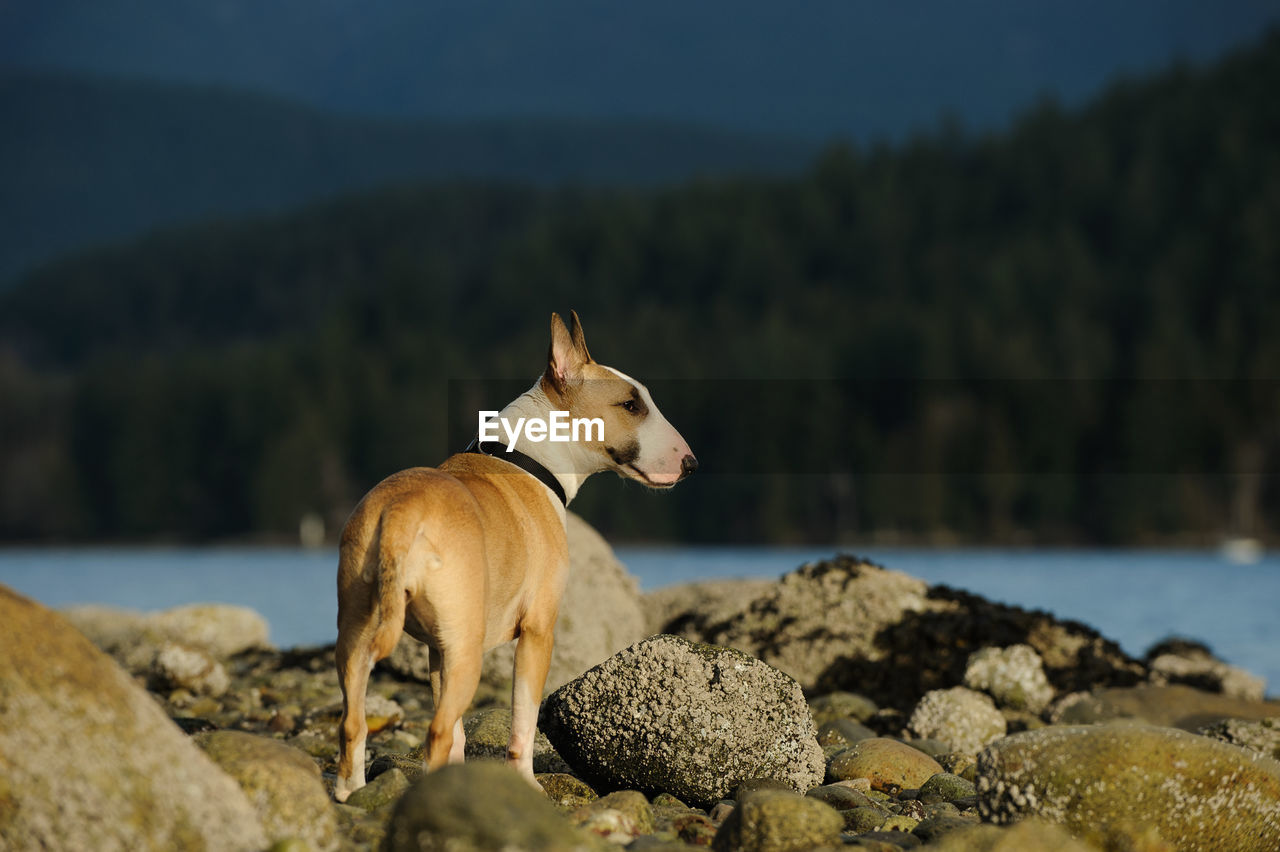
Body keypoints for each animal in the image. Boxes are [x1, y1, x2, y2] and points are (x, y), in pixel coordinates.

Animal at [330, 310, 691, 798]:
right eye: (631, 405)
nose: (690, 463)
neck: (529, 456)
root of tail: (402, 512)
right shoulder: (538, 631)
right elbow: (522, 720)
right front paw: (526, 784)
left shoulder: (438, 651)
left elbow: (461, 733)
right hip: (467, 651)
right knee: (436, 732)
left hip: (358, 636)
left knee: (355, 723)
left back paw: (352, 792)